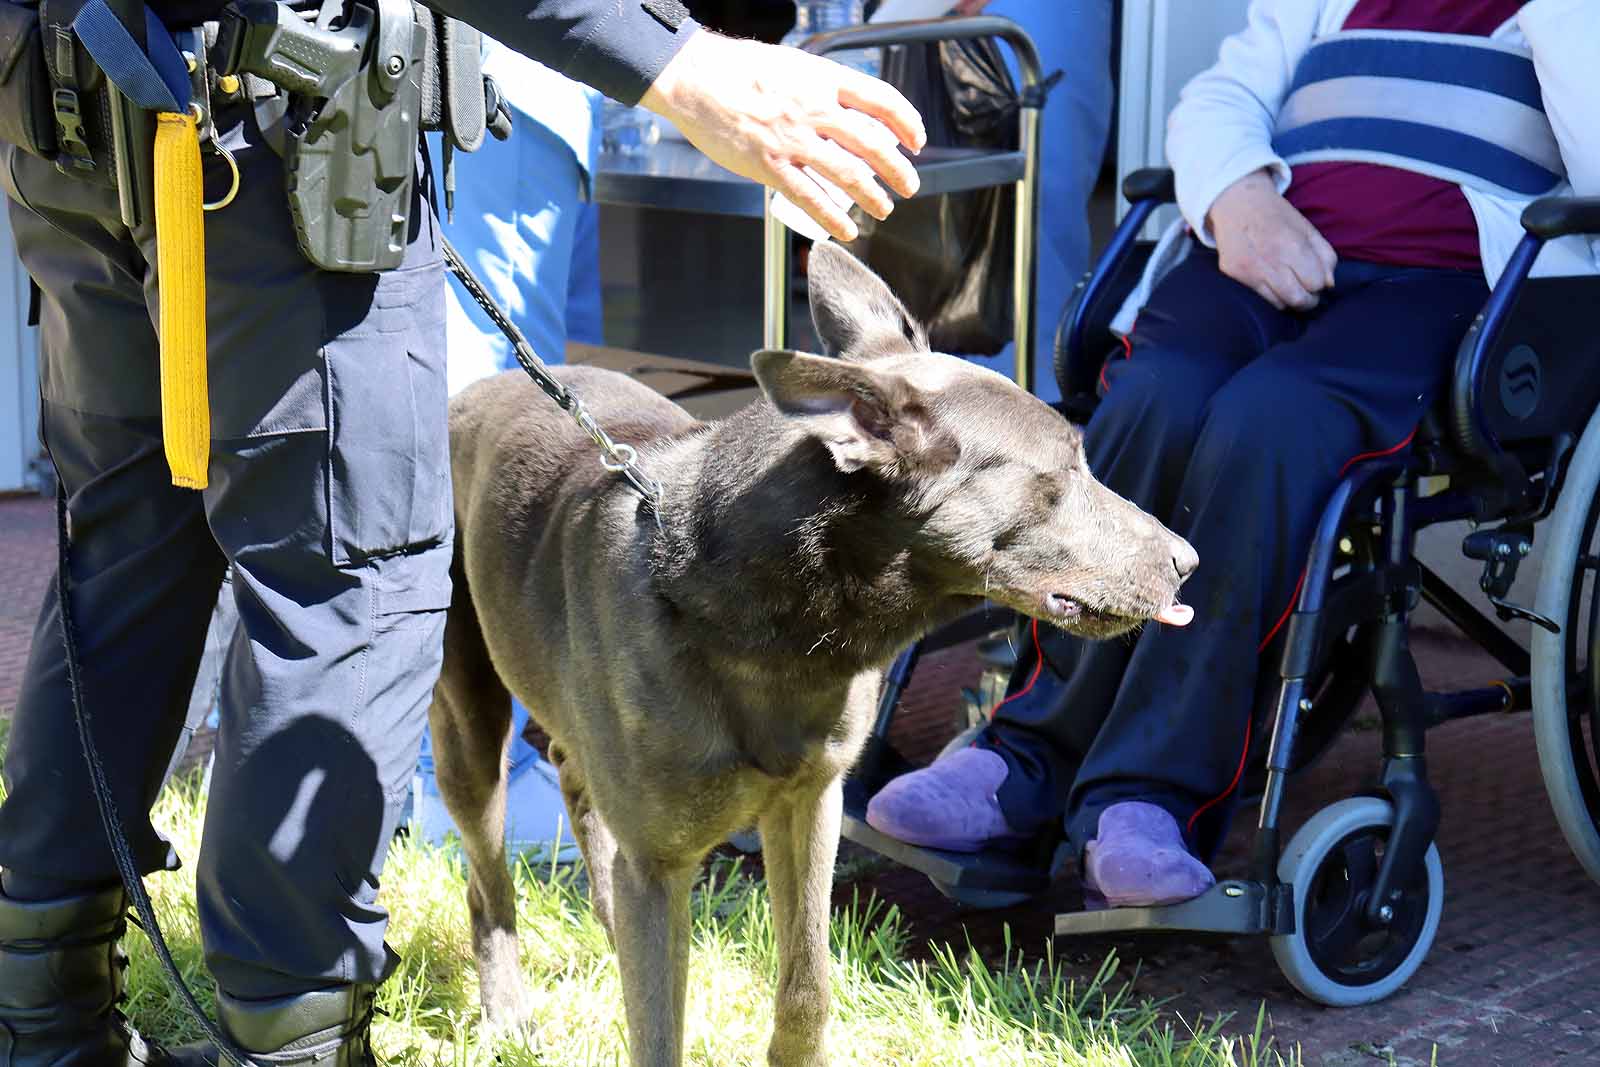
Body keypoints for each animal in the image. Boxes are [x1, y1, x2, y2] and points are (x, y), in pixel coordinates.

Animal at [432, 244, 1196, 1067]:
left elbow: (807, 985)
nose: (1189, 562)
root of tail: (475, 388)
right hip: (467, 727)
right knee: (487, 878)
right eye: (1065, 469)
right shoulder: (660, 866)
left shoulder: (810, 801)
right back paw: (508, 1011)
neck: (772, 626)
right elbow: (660, 1031)